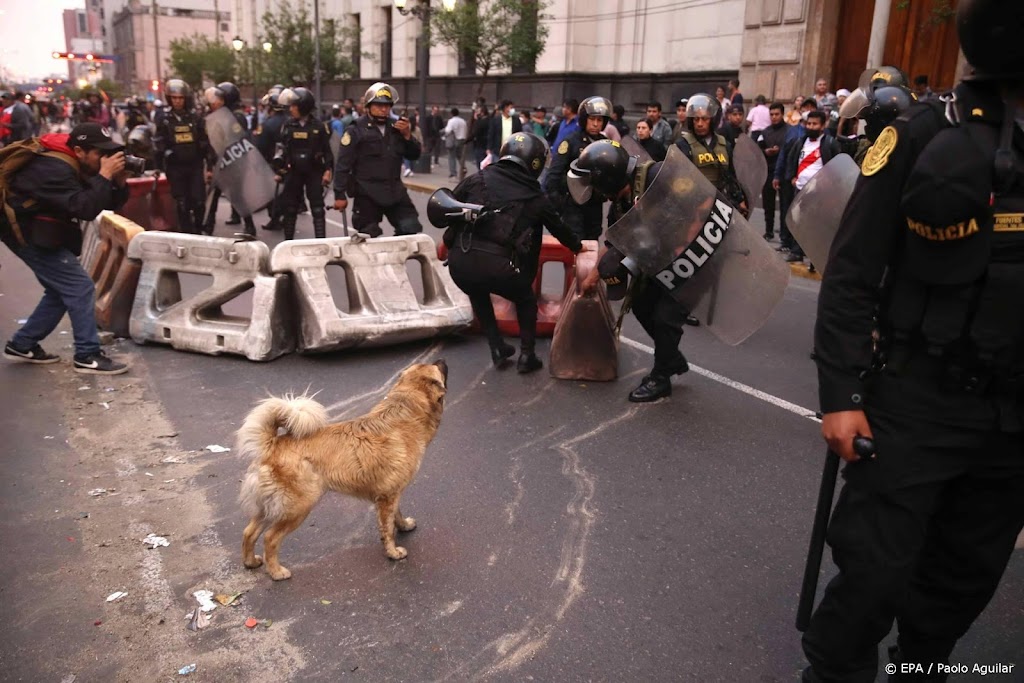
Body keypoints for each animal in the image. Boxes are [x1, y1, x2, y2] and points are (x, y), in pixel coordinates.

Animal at [241, 360, 450, 581]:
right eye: (437, 368)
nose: (442, 360)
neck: (406, 412)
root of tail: (272, 444)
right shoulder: (388, 496)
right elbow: (387, 528)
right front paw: (393, 552)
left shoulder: (393, 493)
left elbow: (396, 515)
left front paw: (404, 526)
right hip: (297, 508)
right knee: (270, 538)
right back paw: (276, 571)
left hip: (269, 507)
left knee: (249, 532)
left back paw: (250, 562)